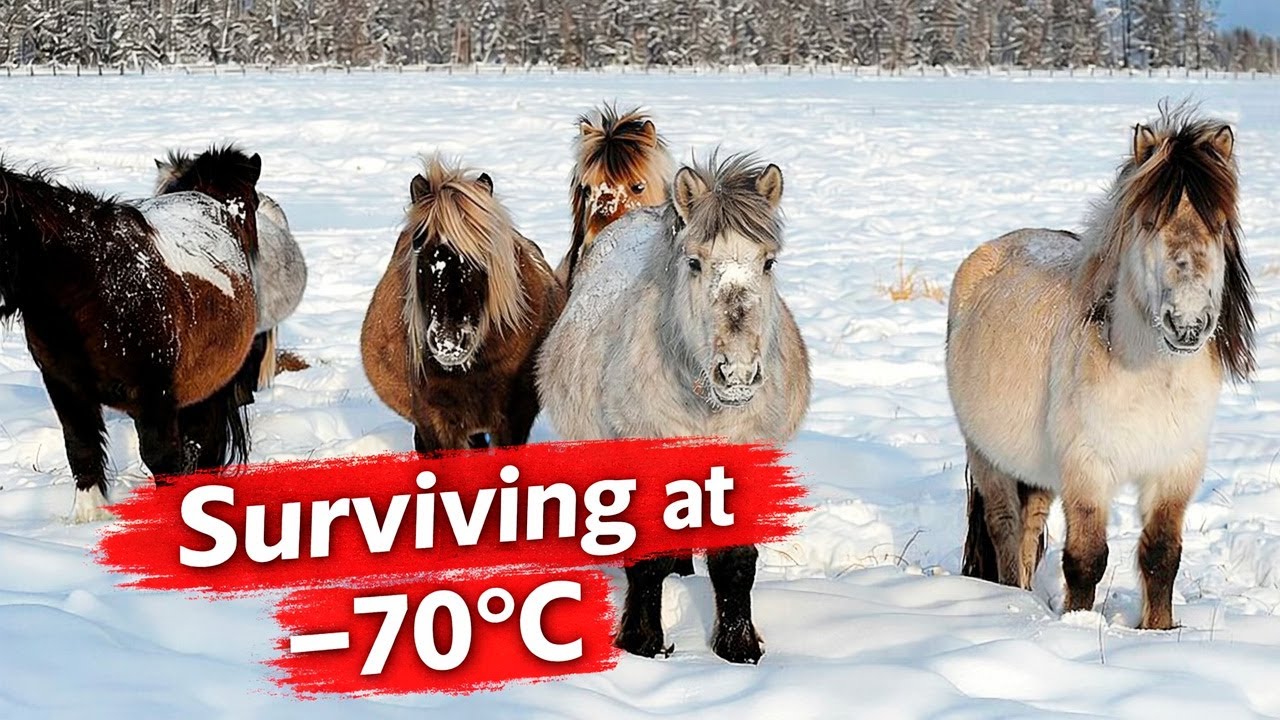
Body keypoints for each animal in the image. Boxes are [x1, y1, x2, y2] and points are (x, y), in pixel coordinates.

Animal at [537, 153, 811, 663]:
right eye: (695, 262)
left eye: (767, 262)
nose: (736, 373)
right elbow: (647, 559)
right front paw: (642, 642)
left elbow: (736, 561)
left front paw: (739, 647)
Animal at [946, 106, 1254, 631]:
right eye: (1149, 222)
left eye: (1217, 224)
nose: (1188, 323)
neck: (1150, 377)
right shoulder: (1087, 467)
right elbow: (1086, 559)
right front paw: (1077, 625)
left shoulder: (1175, 468)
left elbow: (1161, 555)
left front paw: (1158, 630)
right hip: (987, 454)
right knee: (1004, 524)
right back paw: (1013, 597)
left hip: (1038, 469)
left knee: (1030, 527)